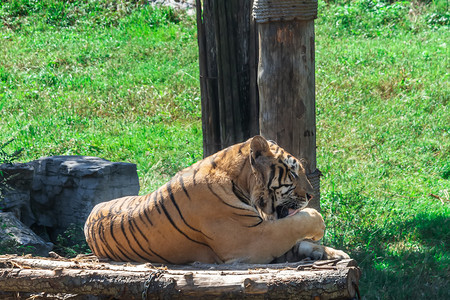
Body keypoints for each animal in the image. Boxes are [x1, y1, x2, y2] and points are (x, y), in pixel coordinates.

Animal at [85, 135, 352, 264]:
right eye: (294, 173)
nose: (311, 194)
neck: (238, 179)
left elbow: (298, 240)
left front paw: (333, 253)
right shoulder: (251, 239)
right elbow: (297, 223)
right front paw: (318, 227)